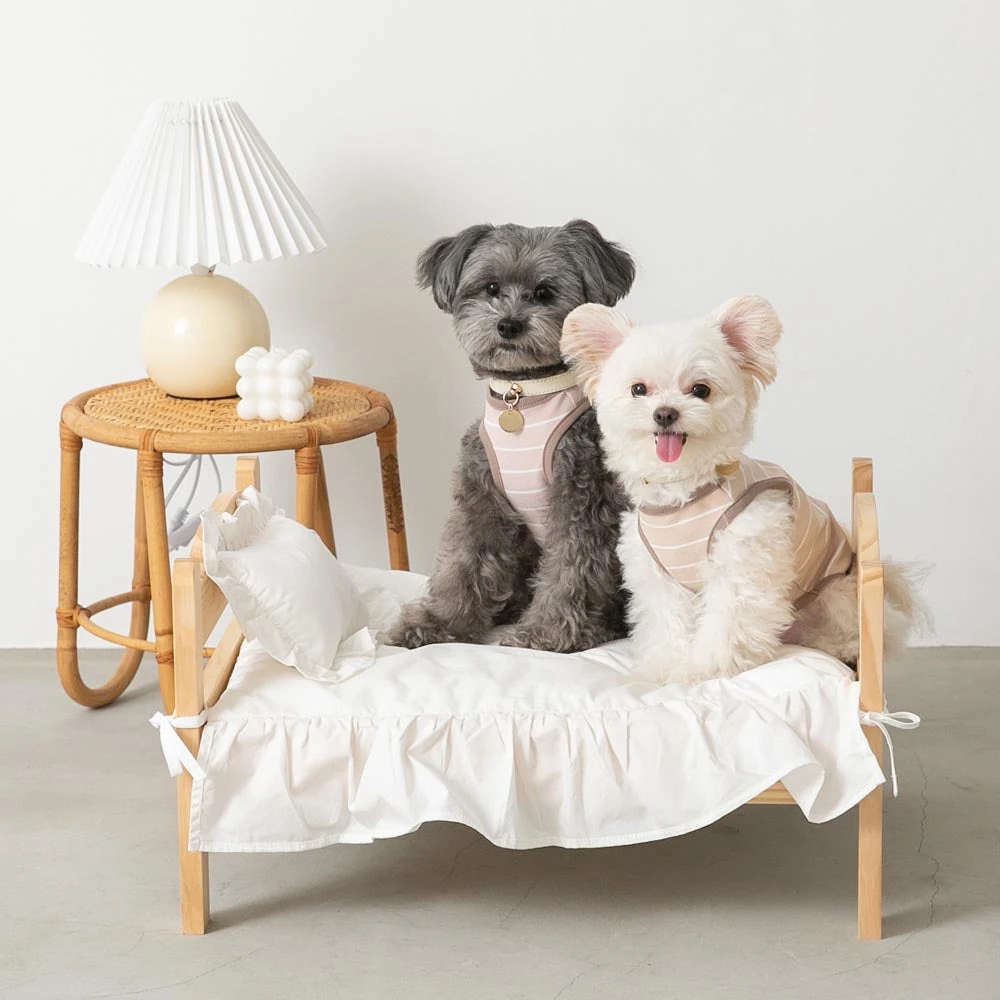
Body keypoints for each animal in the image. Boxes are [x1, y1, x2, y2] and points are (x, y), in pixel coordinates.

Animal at [387, 220, 635, 652]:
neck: (523, 396)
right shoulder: (481, 499)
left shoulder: (581, 500)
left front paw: (546, 633)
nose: (508, 324)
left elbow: (571, 572)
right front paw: (437, 622)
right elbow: (462, 564)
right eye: (490, 288)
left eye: (544, 292)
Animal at [561, 294, 923, 683]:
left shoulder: (743, 559)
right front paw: (664, 666)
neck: (685, 492)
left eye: (700, 390)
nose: (665, 413)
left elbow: (726, 623)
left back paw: (843, 646)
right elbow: (667, 624)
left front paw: (704, 668)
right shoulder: (659, 578)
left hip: (836, 593)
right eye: (639, 390)